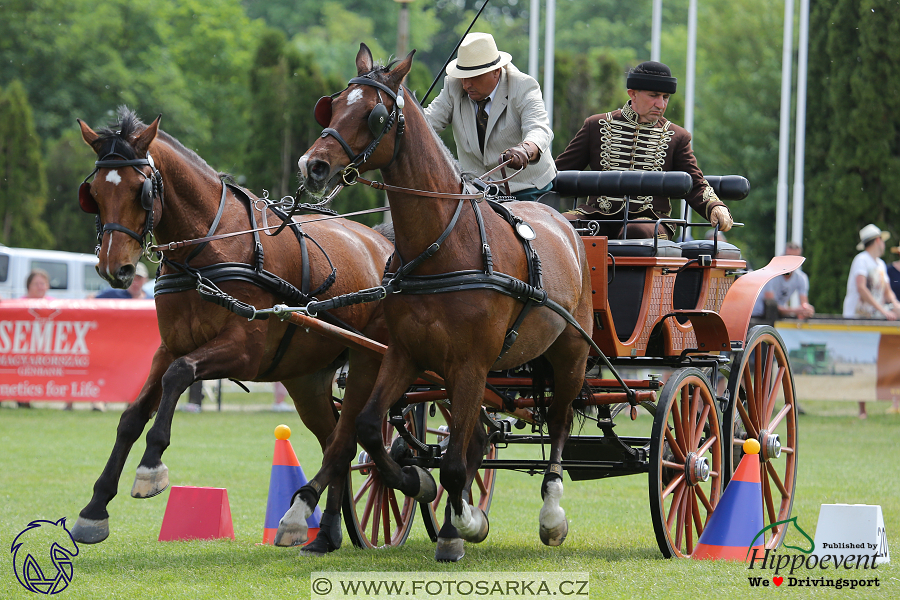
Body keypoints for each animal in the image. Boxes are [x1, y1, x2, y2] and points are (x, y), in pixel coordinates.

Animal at [70, 108, 394, 552]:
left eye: (142, 190)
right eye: (94, 194)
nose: (112, 268)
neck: (209, 244)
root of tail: (385, 245)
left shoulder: (243, 352)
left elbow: (179, 376)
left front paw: (151, 466)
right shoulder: (170, 346)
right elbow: (133, 415)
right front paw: (94, 509)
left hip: (370, 364)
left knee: (352, 437)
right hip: (307, 379)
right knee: (335, 443)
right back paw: (324, 532)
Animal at [278, 47, 596, 564]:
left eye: (375, 115)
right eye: (334, 105)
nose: (313, 166)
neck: (445, 245)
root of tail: (567, 225)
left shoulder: (471, 364)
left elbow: (451, 462)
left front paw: (459, 526)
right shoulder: (405, 354)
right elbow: (369, 427)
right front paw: (417, 483)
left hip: (569, 353)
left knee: (559, 421)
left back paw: (550, 515)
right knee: (479, 435)